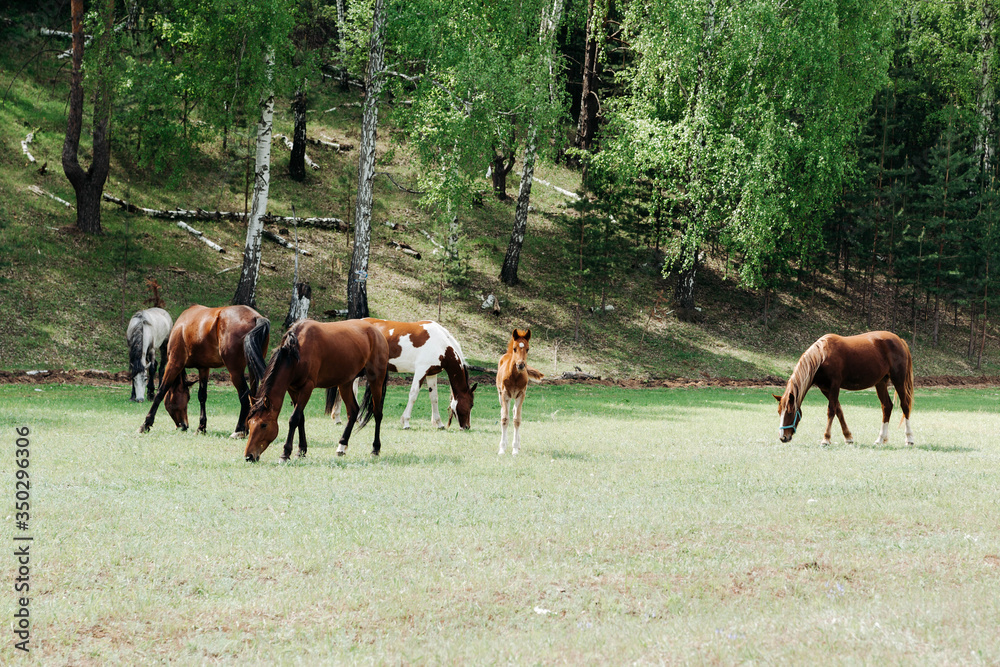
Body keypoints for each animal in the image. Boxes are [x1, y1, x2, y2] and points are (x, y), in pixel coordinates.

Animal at [138, 305, 270, 436]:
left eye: (187, 398)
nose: (184, 425)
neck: (181, 327)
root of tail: (256, 317)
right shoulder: (203, 368)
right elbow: (202, 396)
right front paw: (201, 427)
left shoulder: (174, 363)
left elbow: (161, 391)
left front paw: (146, 424)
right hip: (251, 368)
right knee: (253, 396)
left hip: (235, 371)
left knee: (245, 396)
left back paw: (239, 430)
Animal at [243, 319, 389, 462]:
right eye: (249, 423)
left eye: (264, 425)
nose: (249, 456)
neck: (296, 353)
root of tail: (376, 332)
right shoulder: (293, 389)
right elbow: (300, 418)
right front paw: (301, 450)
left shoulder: (307, 387)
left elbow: (294, 418)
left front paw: (285, 453)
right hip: (345, 383)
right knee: (353, 411)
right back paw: (342, 446)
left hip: (376, 380)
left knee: (377, 413)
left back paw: (375, 449)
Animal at [329, 318, 478, 429]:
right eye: (471, 404)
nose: (467, 427)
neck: (441, 343)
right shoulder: (421, 371)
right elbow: (413, 395)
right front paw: (406, 422)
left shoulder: (431, 373)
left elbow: (434, 398)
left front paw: (439, 423)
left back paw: (338, 418)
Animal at [774, 331, 914, 447]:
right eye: (779, 412)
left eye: (790, 412)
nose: (783, 437)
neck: (822, 356)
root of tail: (899, 340)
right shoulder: (825, 389)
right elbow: (839, 410)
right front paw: (848, 437)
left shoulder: (834, 386)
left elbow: (831, 411)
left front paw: (826, 439)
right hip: (880, 383)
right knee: (887, 407)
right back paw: (880, 439)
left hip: (898, 380)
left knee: (905, 405)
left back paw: (909, 439)